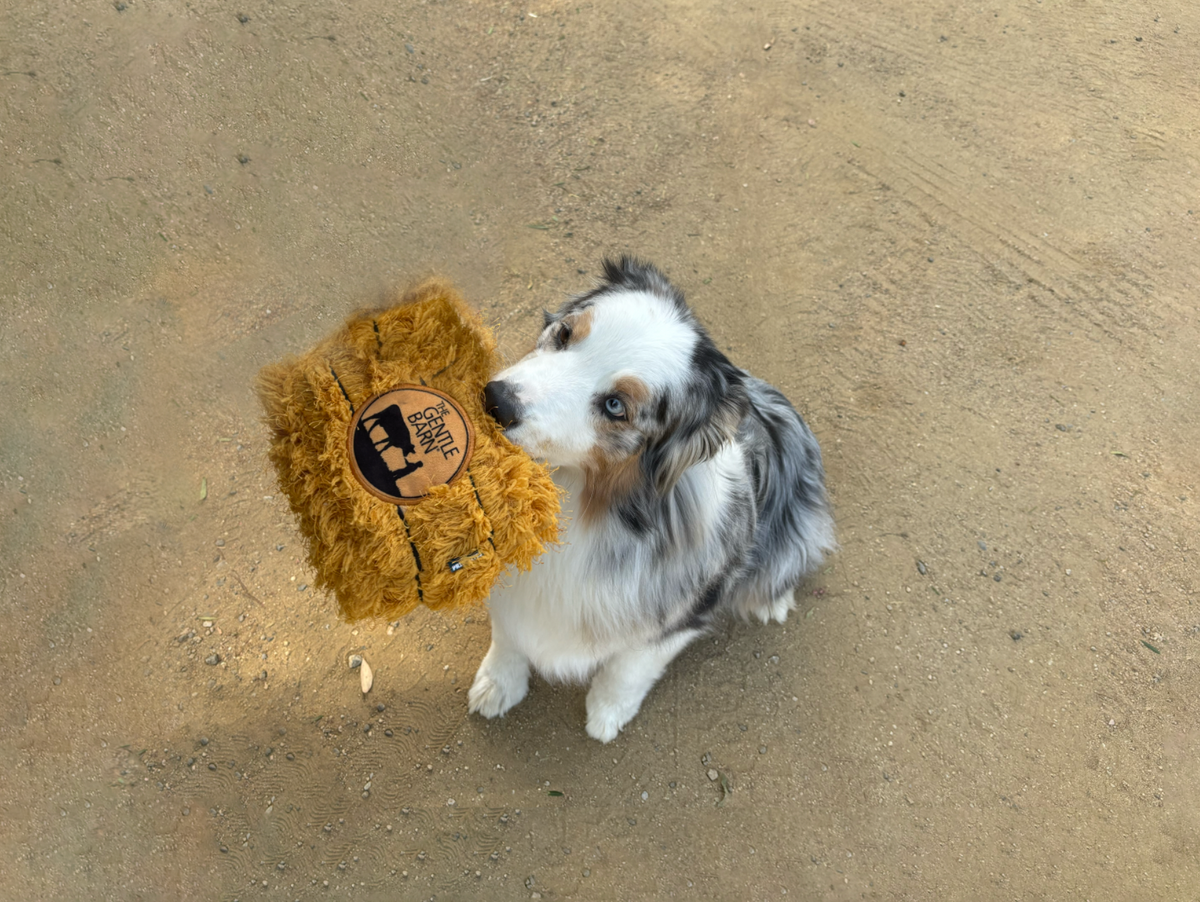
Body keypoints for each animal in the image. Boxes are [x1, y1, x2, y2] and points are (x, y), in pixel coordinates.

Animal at [470, 256, 835, 743]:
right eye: (564, 334)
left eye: (615, 406)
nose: (496, 401)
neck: (587, 505)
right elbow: (508, 633)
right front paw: (497, 684)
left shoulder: (680, 614)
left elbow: (629, 667)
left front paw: (607, 713)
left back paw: (771, 599)